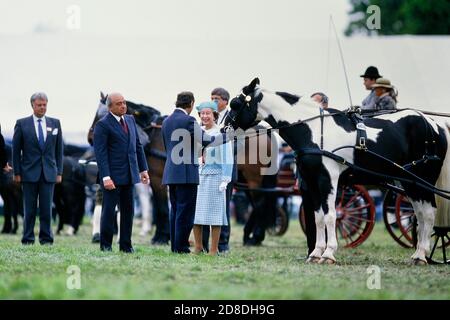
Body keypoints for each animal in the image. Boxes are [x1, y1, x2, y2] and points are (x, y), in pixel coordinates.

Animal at [229, 77, 450, 264]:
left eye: (235, 104)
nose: (224, 129)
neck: (314, 131)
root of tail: (434, 124)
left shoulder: (328, 179)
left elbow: (331, 215)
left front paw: (328, 254)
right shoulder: (312, 182)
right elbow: (317, 217)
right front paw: (315, 253)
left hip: (423, 178)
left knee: (428, 214)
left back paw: (421, 256)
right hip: (409, 181)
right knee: (419, 215)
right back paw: (418, 254)